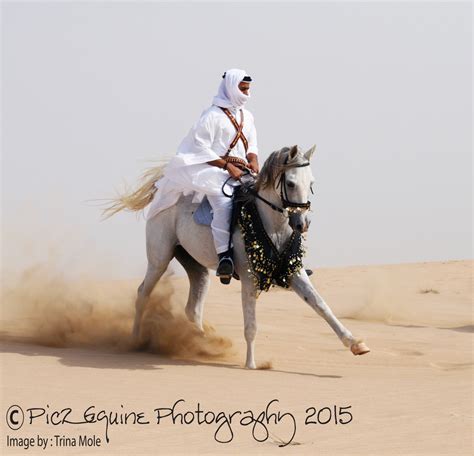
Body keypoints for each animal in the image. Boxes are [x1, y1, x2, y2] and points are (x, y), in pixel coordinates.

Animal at [106, 144, 370, 368]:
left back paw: (203, 343)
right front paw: (251, 364)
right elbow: (251, 325)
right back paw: (136, 340)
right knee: (143, 293)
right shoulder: (249, 278)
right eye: (291, 183)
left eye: (312, 183)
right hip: (159, 258)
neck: (272, 225)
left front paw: (356, 344)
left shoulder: (294, 272)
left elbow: (322, 306)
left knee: (193, 308)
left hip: (196, 267)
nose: (302, 223)